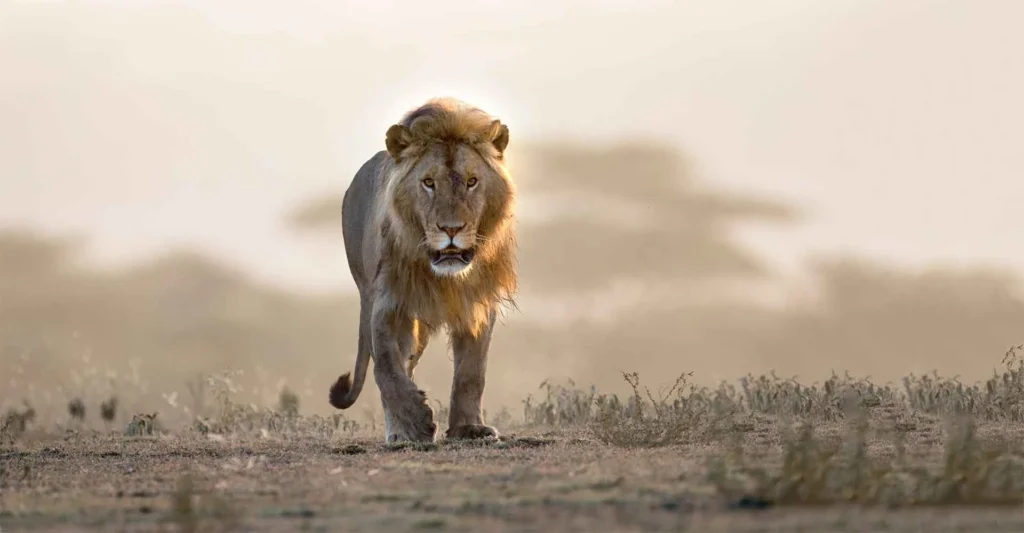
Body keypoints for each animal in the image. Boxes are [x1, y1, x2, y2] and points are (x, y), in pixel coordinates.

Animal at [328, 97, 517, 443]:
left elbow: (472, 370)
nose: (451, 229)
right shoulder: (389, 299)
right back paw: (398, 429)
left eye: (472, 181)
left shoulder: (478, 302)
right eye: (429, 183)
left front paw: (468, 428)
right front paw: (414, 423)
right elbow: (386, 365)